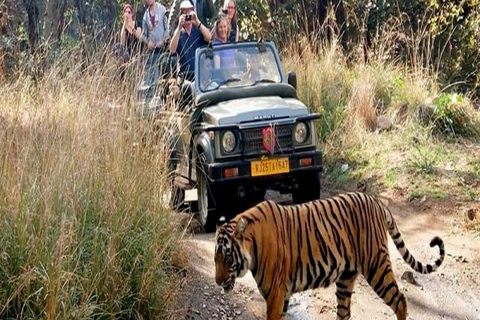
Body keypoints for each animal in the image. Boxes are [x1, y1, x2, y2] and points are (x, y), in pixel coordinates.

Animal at [216, 192, 444, 320]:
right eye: (215, 259)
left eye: (227, 258)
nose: (218, 282)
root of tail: (377, 201)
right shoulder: (283, 295)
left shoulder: (275, 294)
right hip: (346, 278)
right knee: (344, 313)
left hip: (376, 266)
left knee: (400, 300)